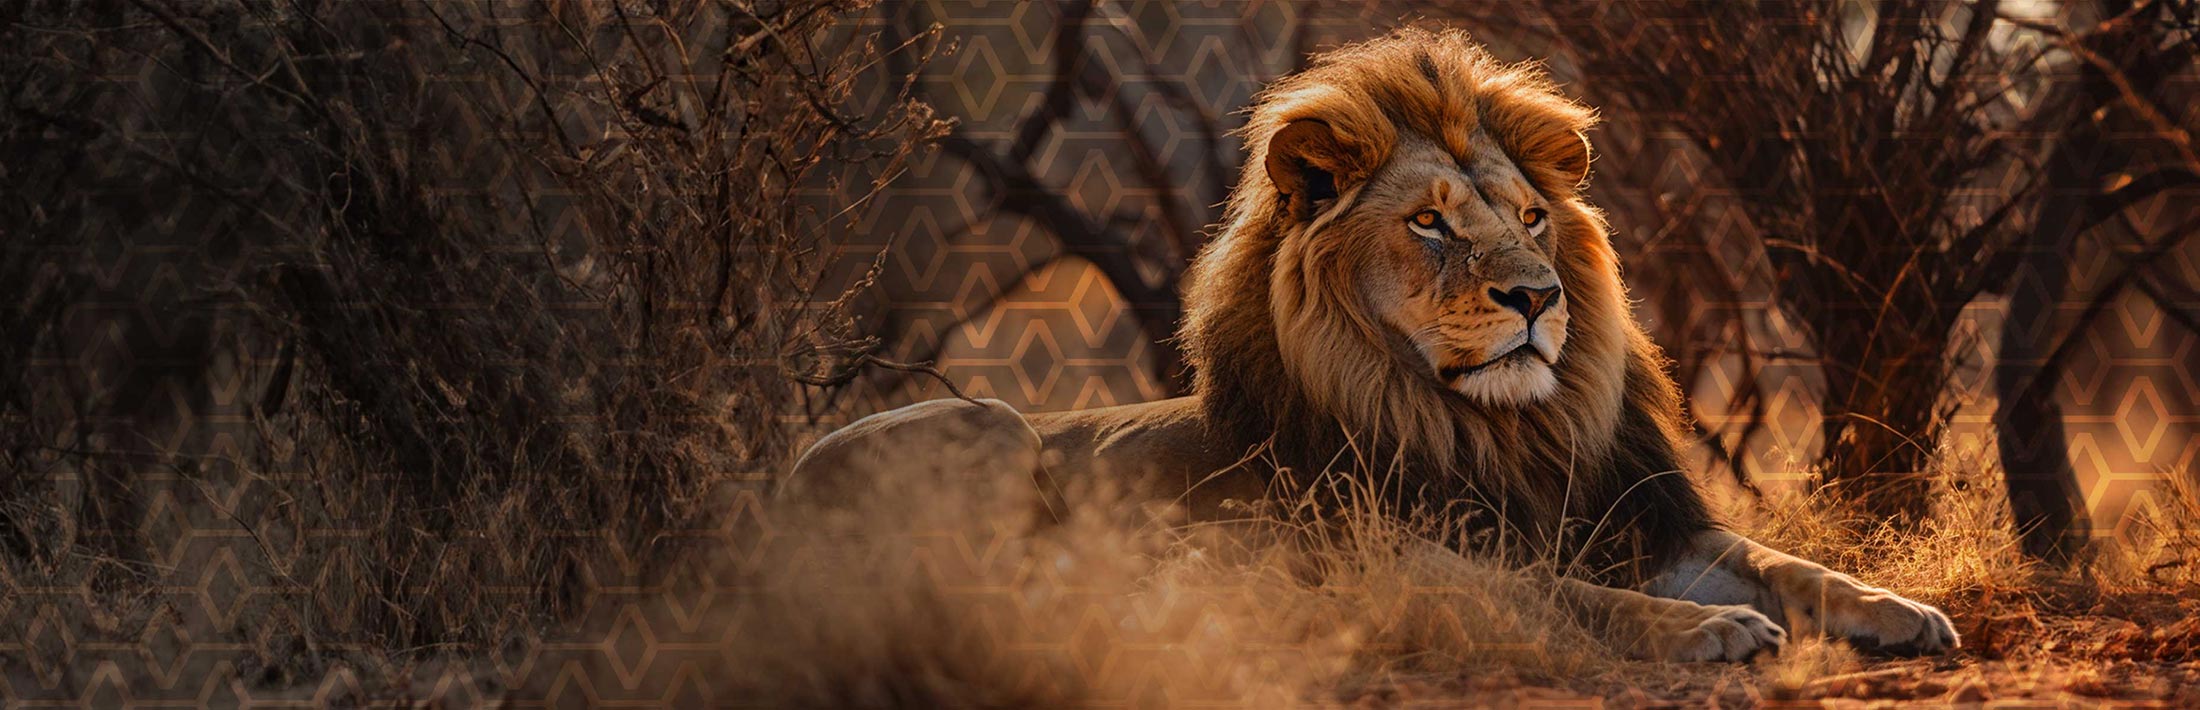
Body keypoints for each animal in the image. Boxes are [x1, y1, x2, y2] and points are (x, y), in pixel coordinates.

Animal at [787, 28, 1957, 662]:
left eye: (1532, 217)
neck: (1500, 431)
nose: (1536, 296)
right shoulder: (1373, 548)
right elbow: (1563, 595)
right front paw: (1700, 633)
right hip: (983, 419)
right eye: (1431, 224)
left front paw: (1898, 607)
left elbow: (1787, 559)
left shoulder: (1639, 516)